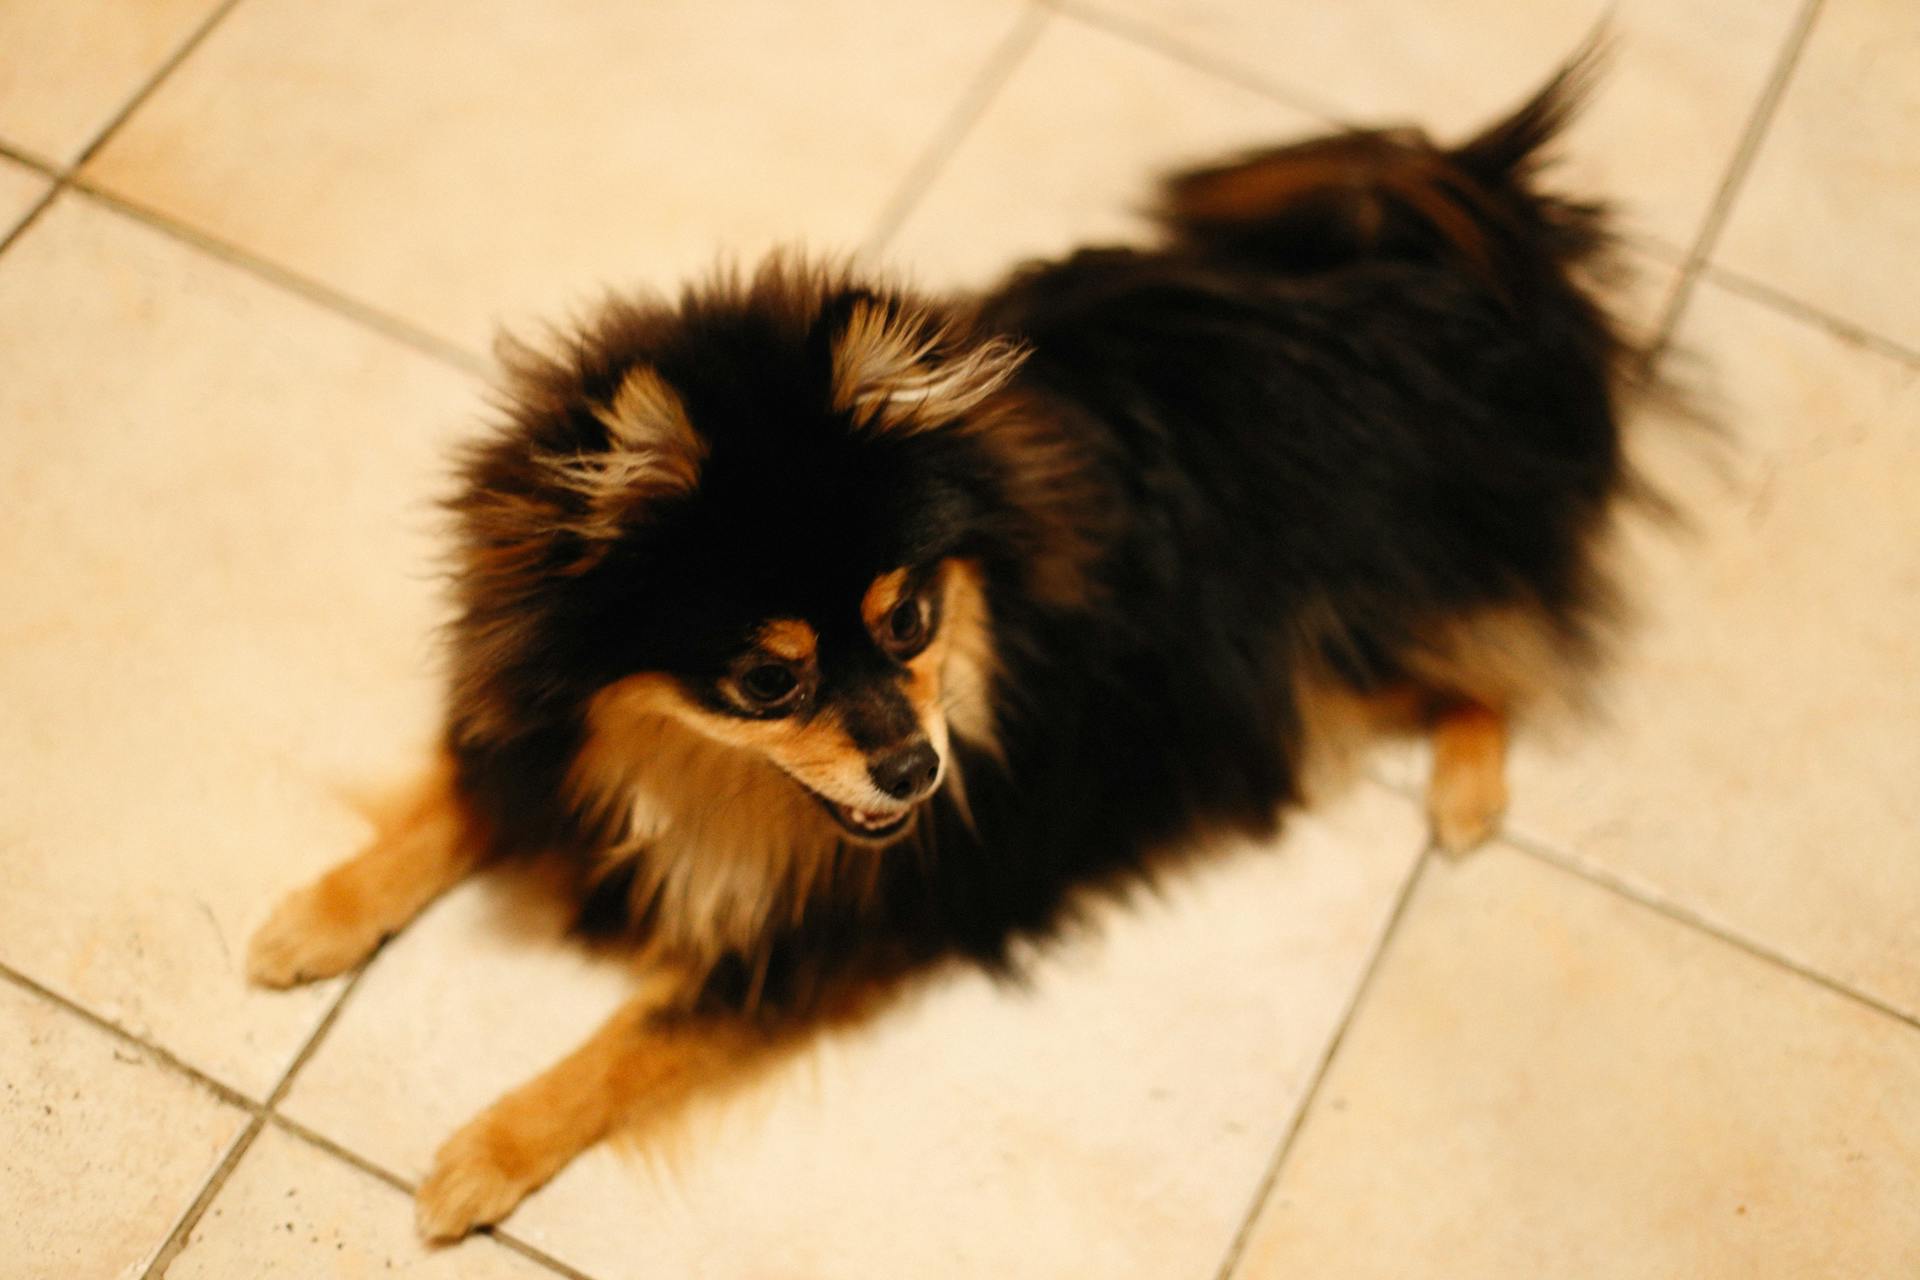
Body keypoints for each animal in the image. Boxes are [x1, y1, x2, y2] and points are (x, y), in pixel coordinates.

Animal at [243, 52, 1651, 1243]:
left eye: (909, 618)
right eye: (768, 679)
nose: (918, 771)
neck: (699, 780)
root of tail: (1430, 272)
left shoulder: (833, 934)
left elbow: (641, 1034)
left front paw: (487, 1150)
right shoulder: (546, 730)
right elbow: (452, 805)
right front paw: (315, 915)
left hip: (1359, 618)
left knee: (1499, 654)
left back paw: (1466, 790)